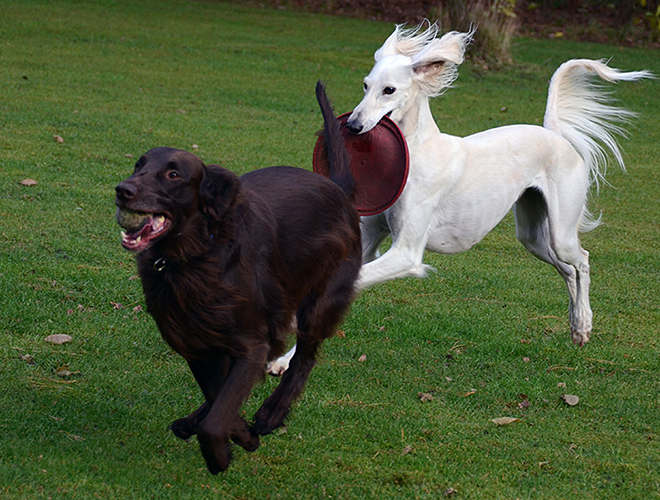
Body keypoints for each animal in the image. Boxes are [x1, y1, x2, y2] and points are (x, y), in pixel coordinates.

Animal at [114, 83, 360, 472]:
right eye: (139, 165)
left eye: (173, 175)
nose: (123, 190)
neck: (195, 258)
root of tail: (336, 188)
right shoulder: (196, 343)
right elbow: (220, 397)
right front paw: (238, 433)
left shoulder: (252, 341)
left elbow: (220, 415)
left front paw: (226, 449)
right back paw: (193, 421)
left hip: (321, 301)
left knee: (303, 360)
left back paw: (272, 413)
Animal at [268, 23, 648, 376]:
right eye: (365, 85)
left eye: (389, 90)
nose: (353, 126)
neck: (418, 150)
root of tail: (553, 134)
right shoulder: (367, 237)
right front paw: (284, 360)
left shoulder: (406, 254)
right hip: (533, 236)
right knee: (567, 269)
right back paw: (575, 325)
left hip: (561, 232)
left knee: (581, 260)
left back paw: (583, 322)